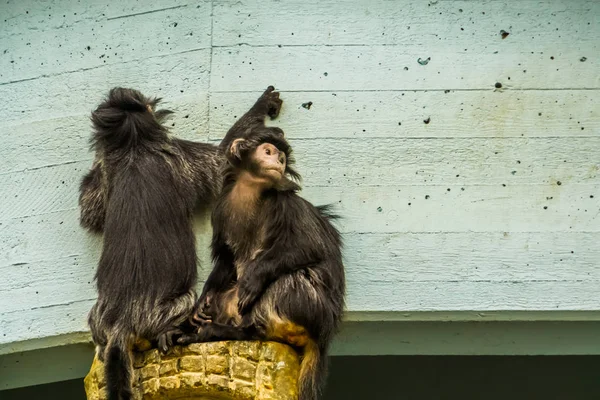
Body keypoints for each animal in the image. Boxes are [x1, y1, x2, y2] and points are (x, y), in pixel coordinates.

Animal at [79, 86, 284, 400]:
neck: (135, 149)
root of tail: (120, 325)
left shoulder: (108, 169)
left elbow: (89, 211)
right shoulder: (177, 154)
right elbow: (222, 161)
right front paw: (261, 105)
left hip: (98, 319)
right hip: (167, 309)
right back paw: (169, 333)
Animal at [177, 117, 346, 398]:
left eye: (281, 157)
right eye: (268, 152)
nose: (278, 161)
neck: (251, 190)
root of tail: (323, 337)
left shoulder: (286, 204)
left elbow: (311, 247)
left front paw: (254, 277)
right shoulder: (222, 208)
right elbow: (226, 259)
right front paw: (201, 303)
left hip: (313, 309)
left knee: (287, 281)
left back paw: (238, 331)